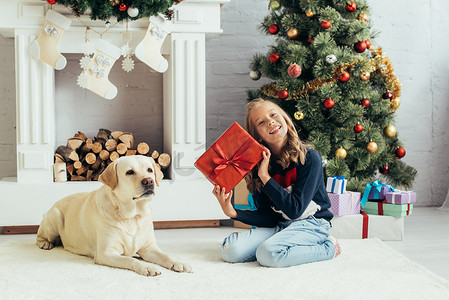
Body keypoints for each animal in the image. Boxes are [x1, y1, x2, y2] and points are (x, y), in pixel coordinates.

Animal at [36, 155, 191, 276]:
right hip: (54, 217)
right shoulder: (106, 253)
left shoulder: (149, 248)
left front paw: (179, 262)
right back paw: (45, 243)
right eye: (129, 172)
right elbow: (130, 259)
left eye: (149, 170)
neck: (132, 216)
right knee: (40, 236)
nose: (149, 181)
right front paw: (146, 266)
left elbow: (166, 255)